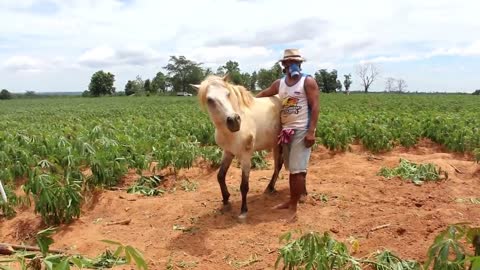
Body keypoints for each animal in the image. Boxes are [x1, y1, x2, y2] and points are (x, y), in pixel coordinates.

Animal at [190, 74, 282, 219]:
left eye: (228, 94)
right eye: (210, 99)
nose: (234, 121)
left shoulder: (245, 156)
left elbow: (244, 186)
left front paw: (243, 211)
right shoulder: (228, 152)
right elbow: (220, 176)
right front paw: (226, 200)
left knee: (279, 165)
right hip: (276, 144)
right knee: (278, 165)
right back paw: (270, 188)